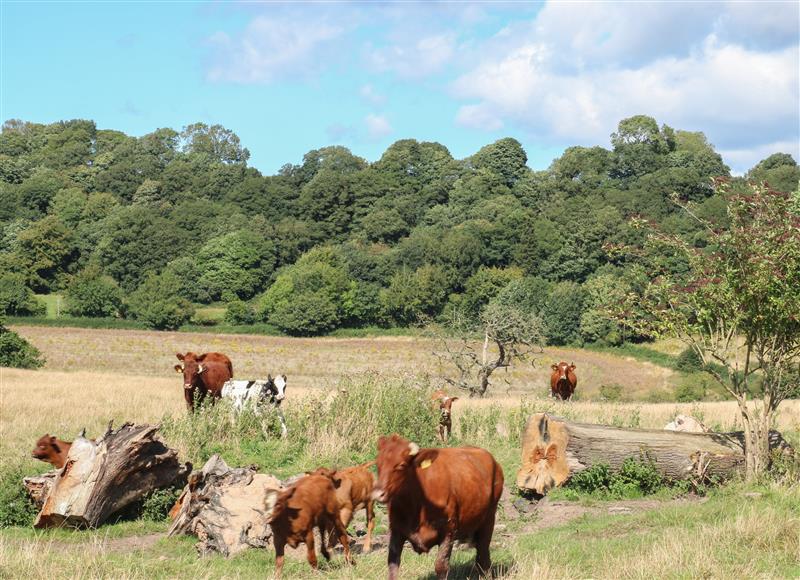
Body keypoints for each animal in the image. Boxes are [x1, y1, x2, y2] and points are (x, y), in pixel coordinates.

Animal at [372, 432, 504, 576]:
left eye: (401, 465)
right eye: (378, 464)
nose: (378, 493)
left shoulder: (448, 530)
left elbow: (441, 566)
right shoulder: (396, 531)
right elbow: (392, 566)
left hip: (489, 518)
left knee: (483, 556)